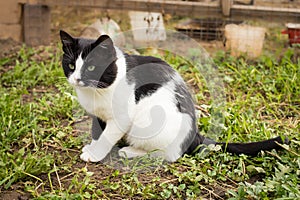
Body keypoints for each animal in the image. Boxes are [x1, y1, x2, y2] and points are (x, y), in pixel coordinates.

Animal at [59, 30, 288, 162]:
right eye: (71, 66)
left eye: (92, 67)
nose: (77, 79)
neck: (96, 91)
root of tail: (195, 135)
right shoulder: (98, 115)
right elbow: (97, 131)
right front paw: (93, 146)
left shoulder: (121, 117)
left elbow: (107, 136)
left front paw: (95, 154)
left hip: (148, 123)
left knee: (170, 154)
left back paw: (131, 151)